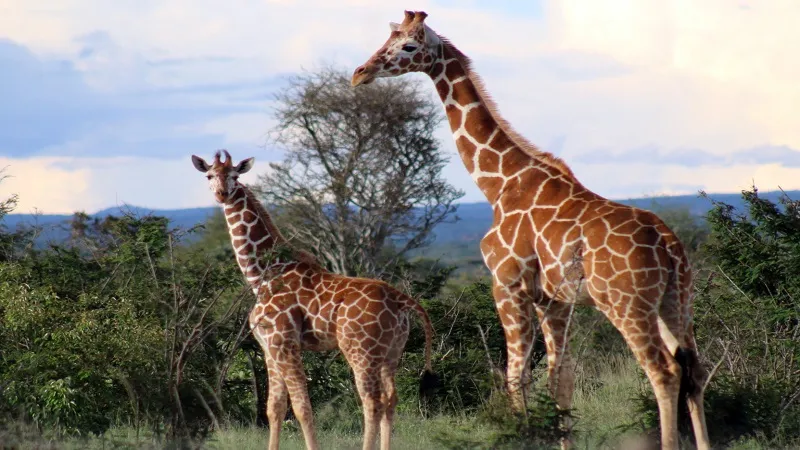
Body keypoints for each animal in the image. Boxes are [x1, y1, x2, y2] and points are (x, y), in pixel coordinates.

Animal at [191, 150, 436, 450]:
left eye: (235, 176)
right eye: (209, 175)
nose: (222, 194)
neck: (261, 275)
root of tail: (401, 299)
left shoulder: (284, 341)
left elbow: (301, 407)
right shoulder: (268, 346)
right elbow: (274, 407)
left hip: (360, 350)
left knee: (372, 402)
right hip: (392, 351)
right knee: (391, 399)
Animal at [352, 11, 710, 450]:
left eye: (407, 46)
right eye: (387, 38)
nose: (360, 73)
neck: (499, 183)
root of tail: (669, 244)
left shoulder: (507, 284)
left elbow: (516, 375)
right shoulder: (552, 299)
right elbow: (561, 378)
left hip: (626, 304)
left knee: (664, 372)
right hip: (677, 300)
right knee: (695, 370)